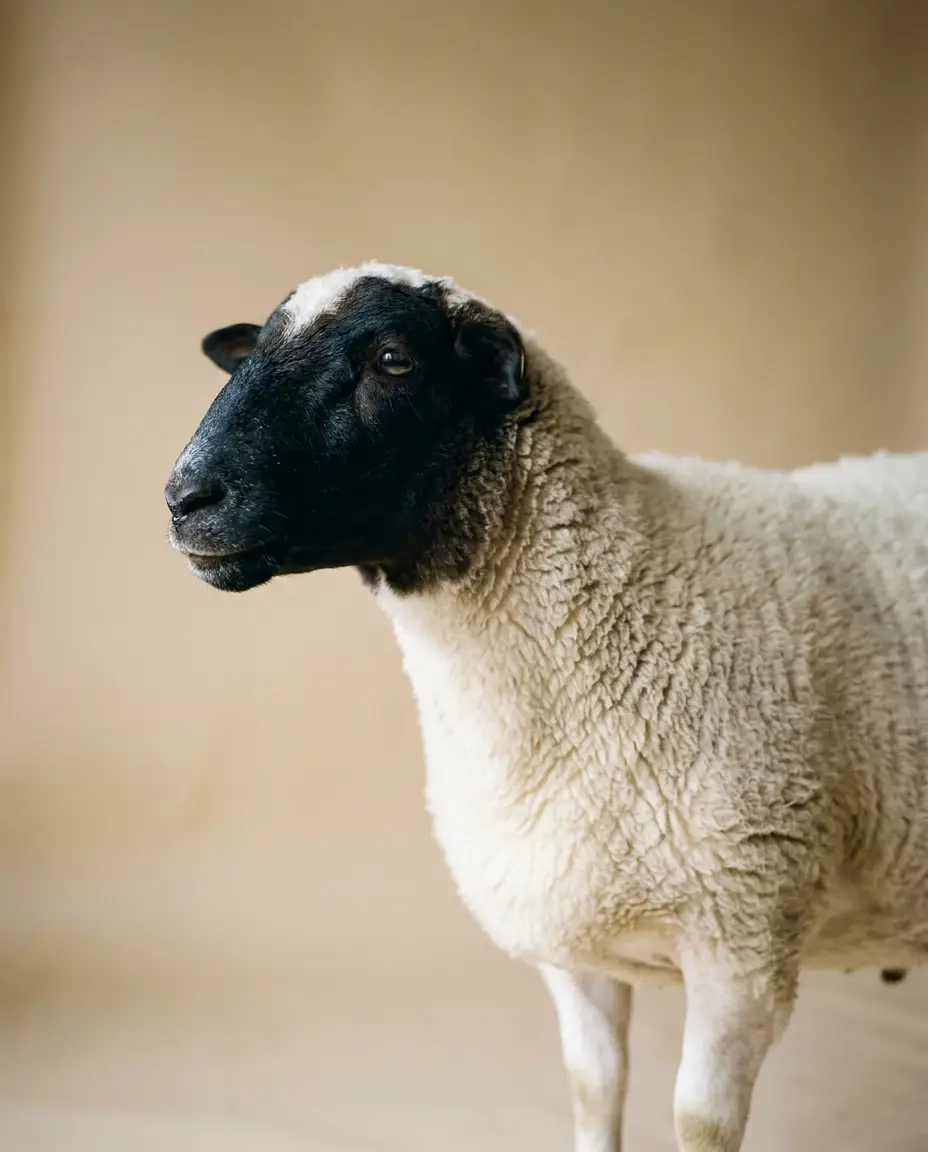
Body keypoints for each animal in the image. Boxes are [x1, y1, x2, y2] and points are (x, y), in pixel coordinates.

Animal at [165, 262, 928, 1152]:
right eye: (251, 354)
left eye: (393, 360)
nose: (185, 498)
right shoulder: (575, 949)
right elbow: (592, 1090)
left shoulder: (743, 940)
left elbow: (699, 1122)